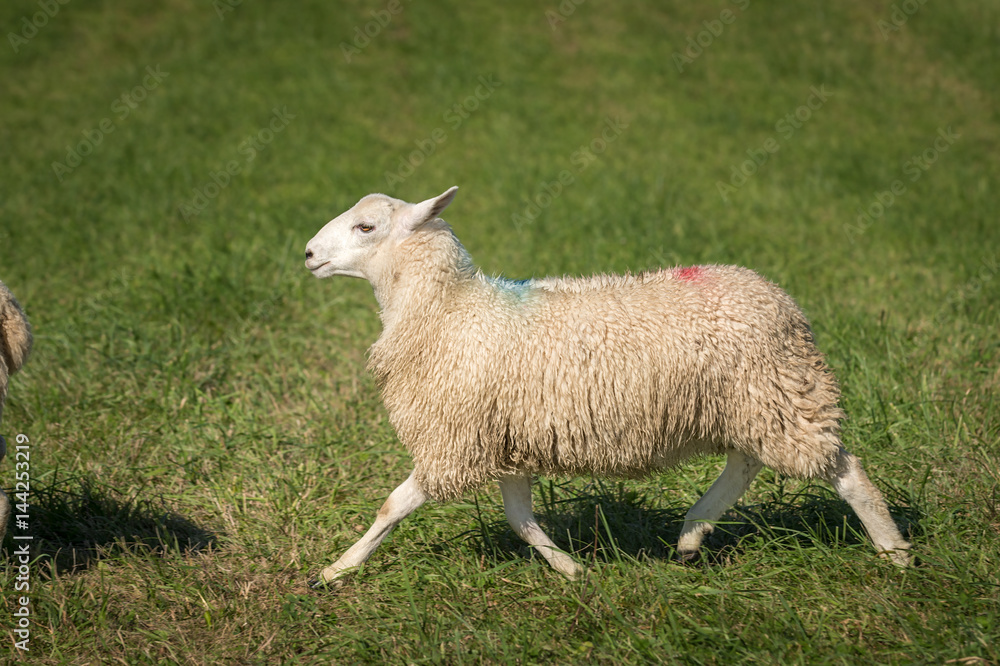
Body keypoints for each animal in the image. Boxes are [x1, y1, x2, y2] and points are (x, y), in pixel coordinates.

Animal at [303, 186, 912, 585]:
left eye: (366, 227)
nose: (307, 254)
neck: (449, 310)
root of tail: (780, 299)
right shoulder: (502, 441)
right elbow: (521, 521)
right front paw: (571, 570)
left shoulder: (453, 441)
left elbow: (392, 506)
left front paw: (334, 571)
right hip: (755, 403)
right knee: (745, 463)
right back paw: (691, 536)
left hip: (781, 396)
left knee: (846, 473)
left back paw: (895, 554)